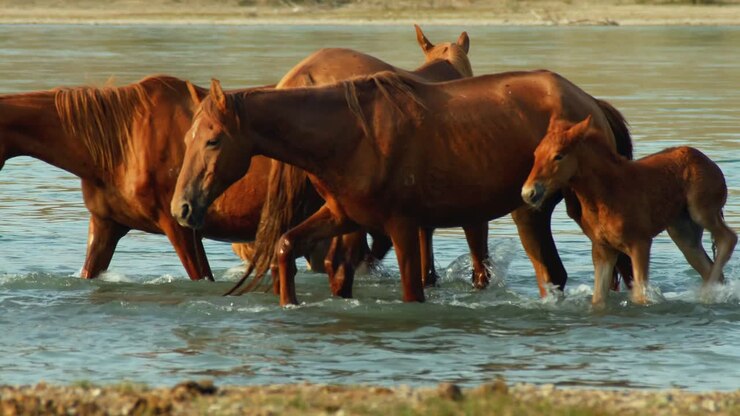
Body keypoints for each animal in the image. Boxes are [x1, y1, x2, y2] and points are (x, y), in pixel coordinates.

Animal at [171, 69, 634, 306]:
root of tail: (591, 104)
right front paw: (289, 305)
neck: (348, 134)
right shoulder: (343, 216)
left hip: (535, 211)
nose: (182, 208)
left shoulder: (402, 226)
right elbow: (287, 247)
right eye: (187, 138)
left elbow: (413, 290)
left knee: (558, 272)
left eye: (213, 140)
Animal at [521, 115, 737, 306]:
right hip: (683, 232)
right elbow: (598, 299)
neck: (604, 194)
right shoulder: (603, 250)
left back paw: (708, 294)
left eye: (558, 155)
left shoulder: (640, 243)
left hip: (701, 211)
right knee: (708, 265)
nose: (528, 192)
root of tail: (710, 163)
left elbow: (640, 297)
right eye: (535, 154)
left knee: (728, 238)